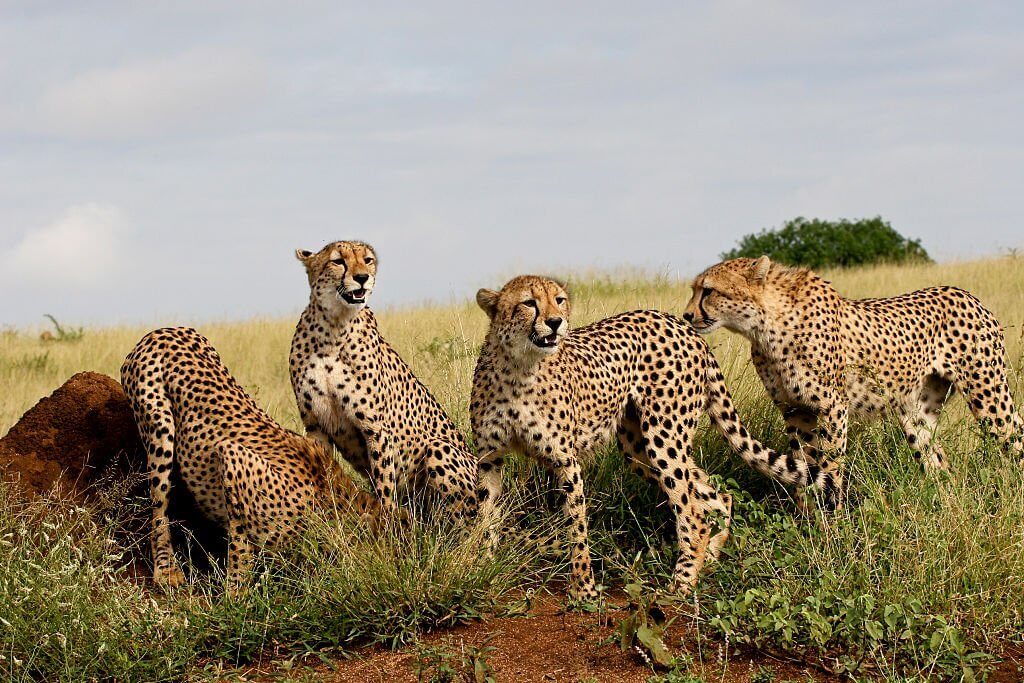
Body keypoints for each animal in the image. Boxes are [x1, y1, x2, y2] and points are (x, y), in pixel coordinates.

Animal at [121, 326, 380, 590]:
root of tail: (164, 330)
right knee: (159, 505)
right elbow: (240, 547)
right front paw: (235, 593)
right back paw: (166, 569)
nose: (381, 571)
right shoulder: (232, 457)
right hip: (159, 427)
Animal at [290, 241, 478, 521]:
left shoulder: (375, 428)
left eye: (367, 260)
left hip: (440, 450)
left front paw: (388, 523)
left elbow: (384, 484)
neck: (333, 329)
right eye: (338, 261)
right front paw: (326, 521)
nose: (362, 278)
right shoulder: (315, 425)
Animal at [470, 275, 839, 600]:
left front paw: (584, 589)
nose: (556, 322)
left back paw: (683, 583)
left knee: (693, 511)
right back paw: (709, 558)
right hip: (638, 448)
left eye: (559, 300)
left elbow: (576, 528)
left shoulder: (565, 461)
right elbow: (484, 517)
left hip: (664, 434)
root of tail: (683, 325)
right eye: (528, 303)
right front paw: (481, 566)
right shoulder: (489, 459)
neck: (519, 368)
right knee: (714, 492)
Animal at [684, 255, 1024, 476]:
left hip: (988, 393)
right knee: (936, 458)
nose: (687, 315)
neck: (766, 325)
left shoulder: (833, 406)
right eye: (695, 289)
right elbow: (804, 466)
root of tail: (966, 293)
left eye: (709, 290)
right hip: (916, 412)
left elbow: (830, 465)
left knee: (1014, 435)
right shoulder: (795, 410)